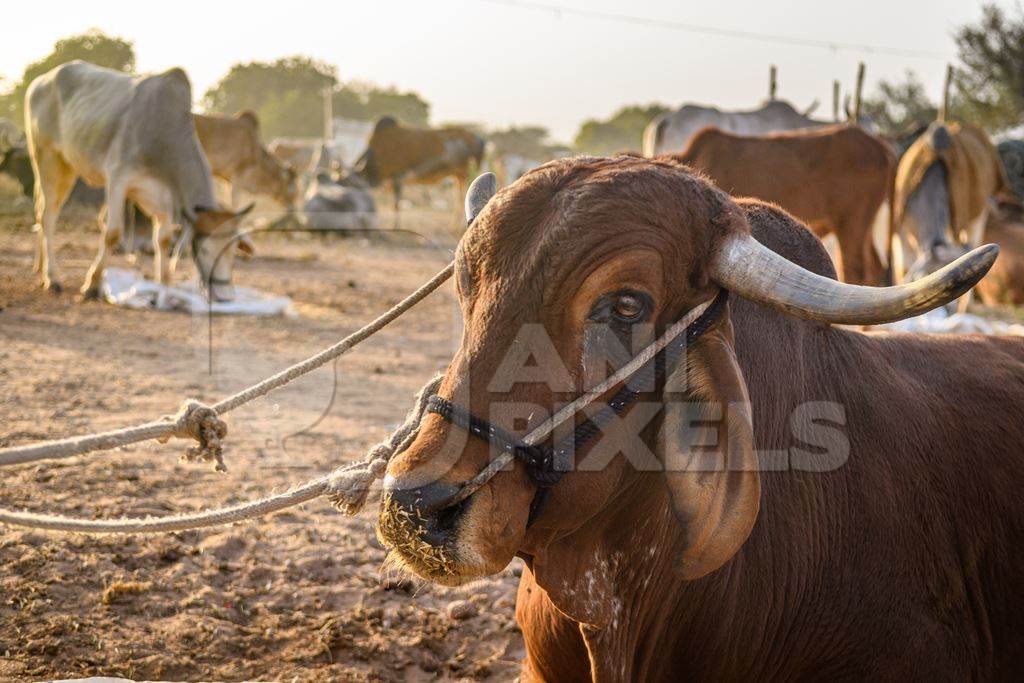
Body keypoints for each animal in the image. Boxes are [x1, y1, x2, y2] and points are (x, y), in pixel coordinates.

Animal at [25, 61, 251, 299]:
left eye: (233, 251)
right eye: (205, 249)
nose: (223, 294)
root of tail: (41, 80)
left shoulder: (163, 198)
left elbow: (163, 240)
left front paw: (164, 286)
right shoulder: (118, 179)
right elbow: (113, 234)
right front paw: (92, 284)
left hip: (66, 167)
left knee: (43, 213)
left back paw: (40, 269)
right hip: (47, 158)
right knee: (47, 217)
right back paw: (52, 278)